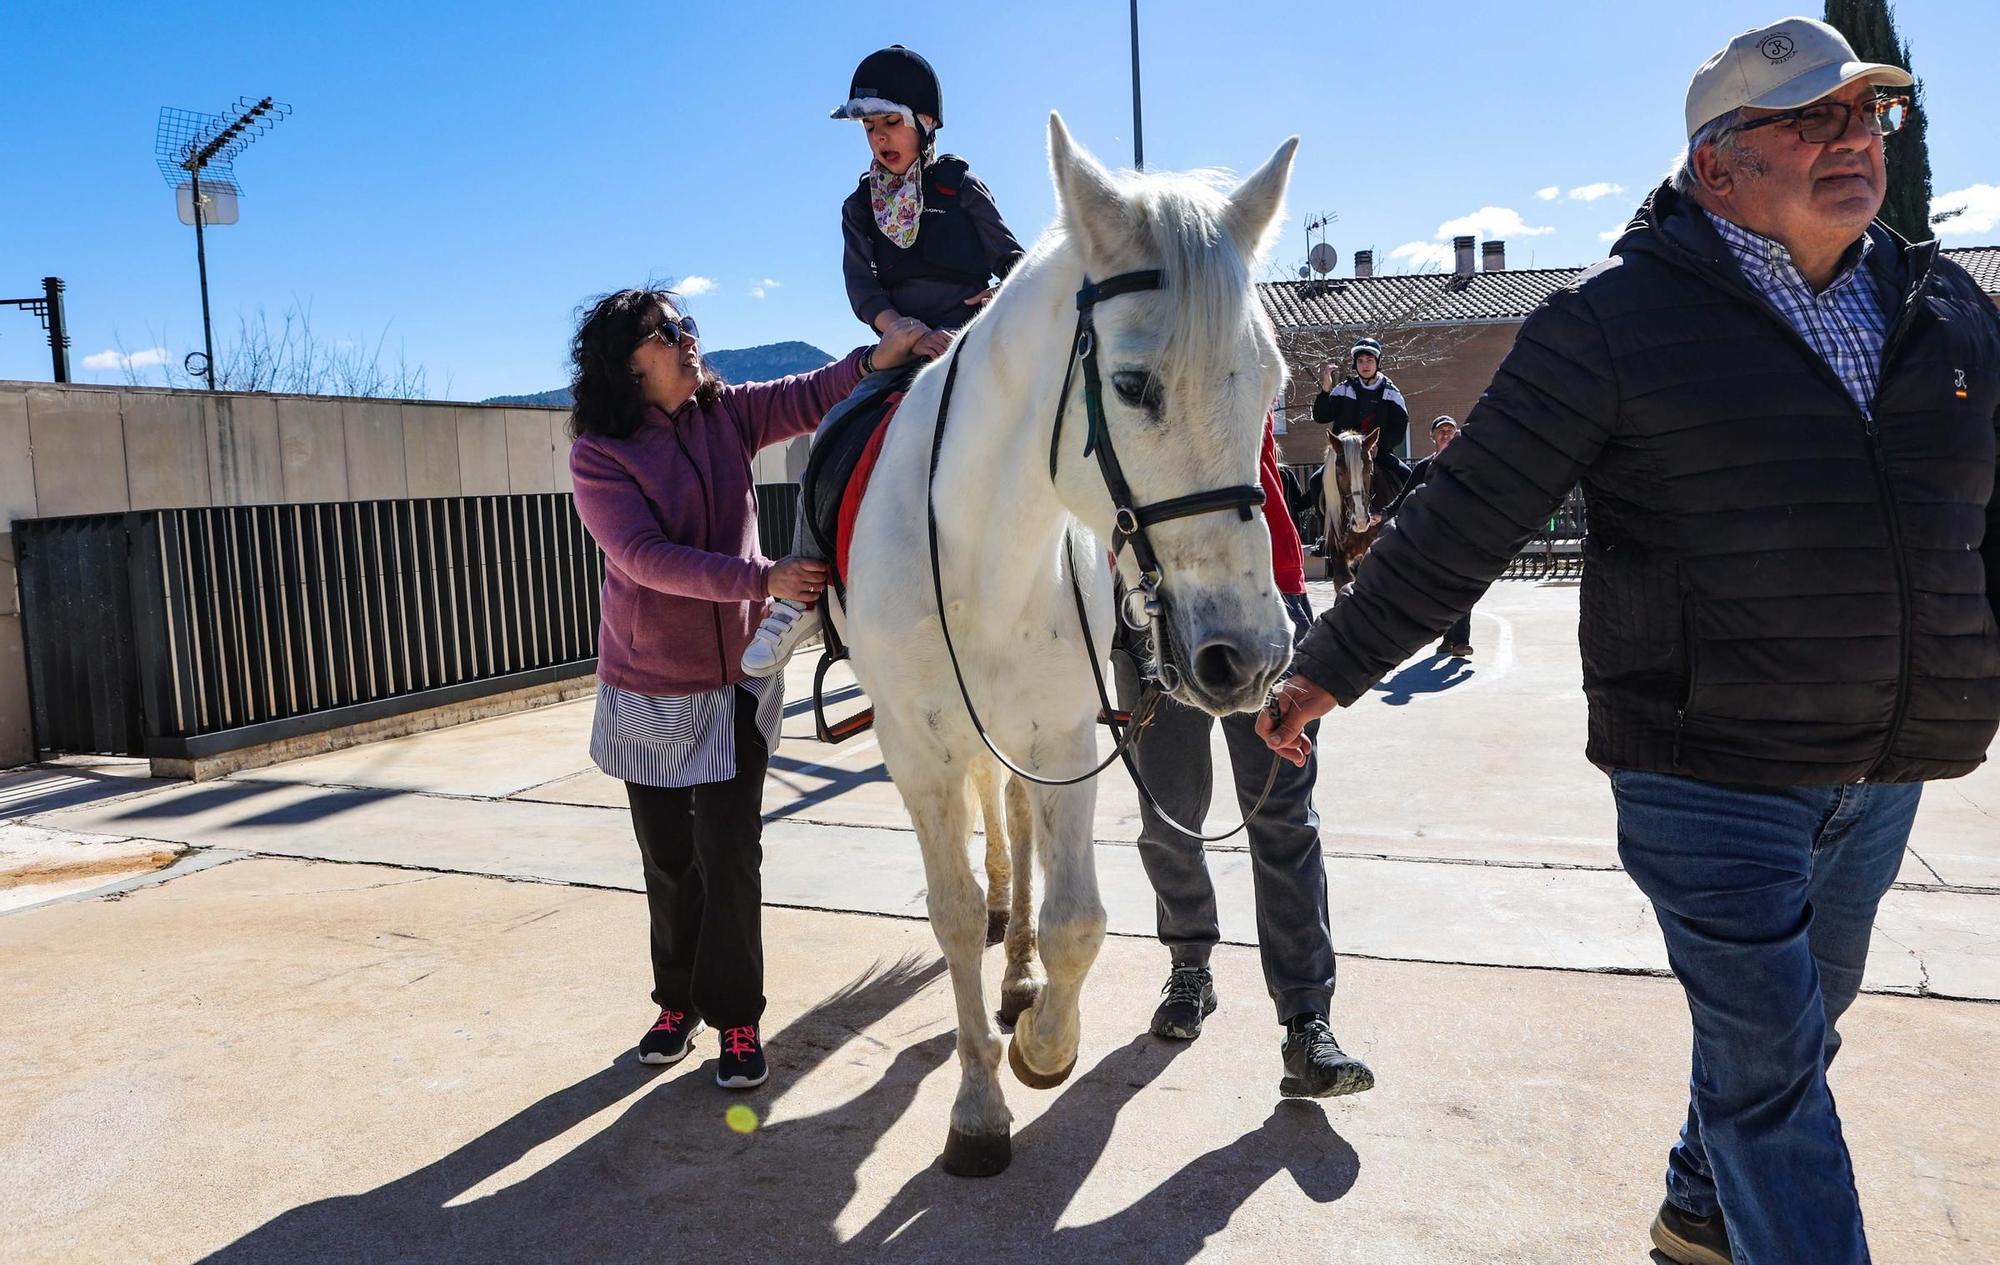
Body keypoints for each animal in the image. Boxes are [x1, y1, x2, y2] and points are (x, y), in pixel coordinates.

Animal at [832, 113, 1288, 1184]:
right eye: (1131, 384)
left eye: (1275, 383)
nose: (1249, 655)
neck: (982, 556)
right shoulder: (915, 753)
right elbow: (954, 912)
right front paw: (976, 1110)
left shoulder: (1066, 737)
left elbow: (1078, 914)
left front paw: (1045, 1041)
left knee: (1019, 839)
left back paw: (1020, 971)